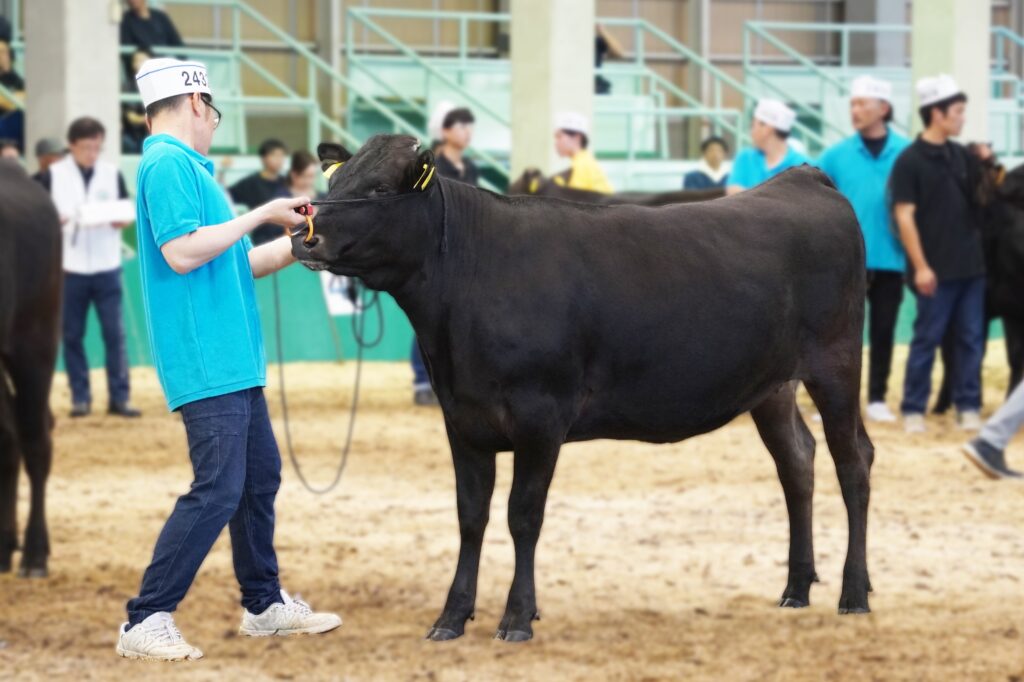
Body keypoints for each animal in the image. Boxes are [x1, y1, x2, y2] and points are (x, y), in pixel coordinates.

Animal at [294, 135, 872, 638]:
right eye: (336, 180)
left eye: (377, 191)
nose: (305, 235)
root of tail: (802, 178)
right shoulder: (463, 418)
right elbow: (471, 517)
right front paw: (452, 617)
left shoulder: (540, 416)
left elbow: (523, 516)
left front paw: (517, 617)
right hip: (772, 386)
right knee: (797, 463)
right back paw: (797, 588)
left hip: (837, 363)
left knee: (853, 463)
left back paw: (854, 593)